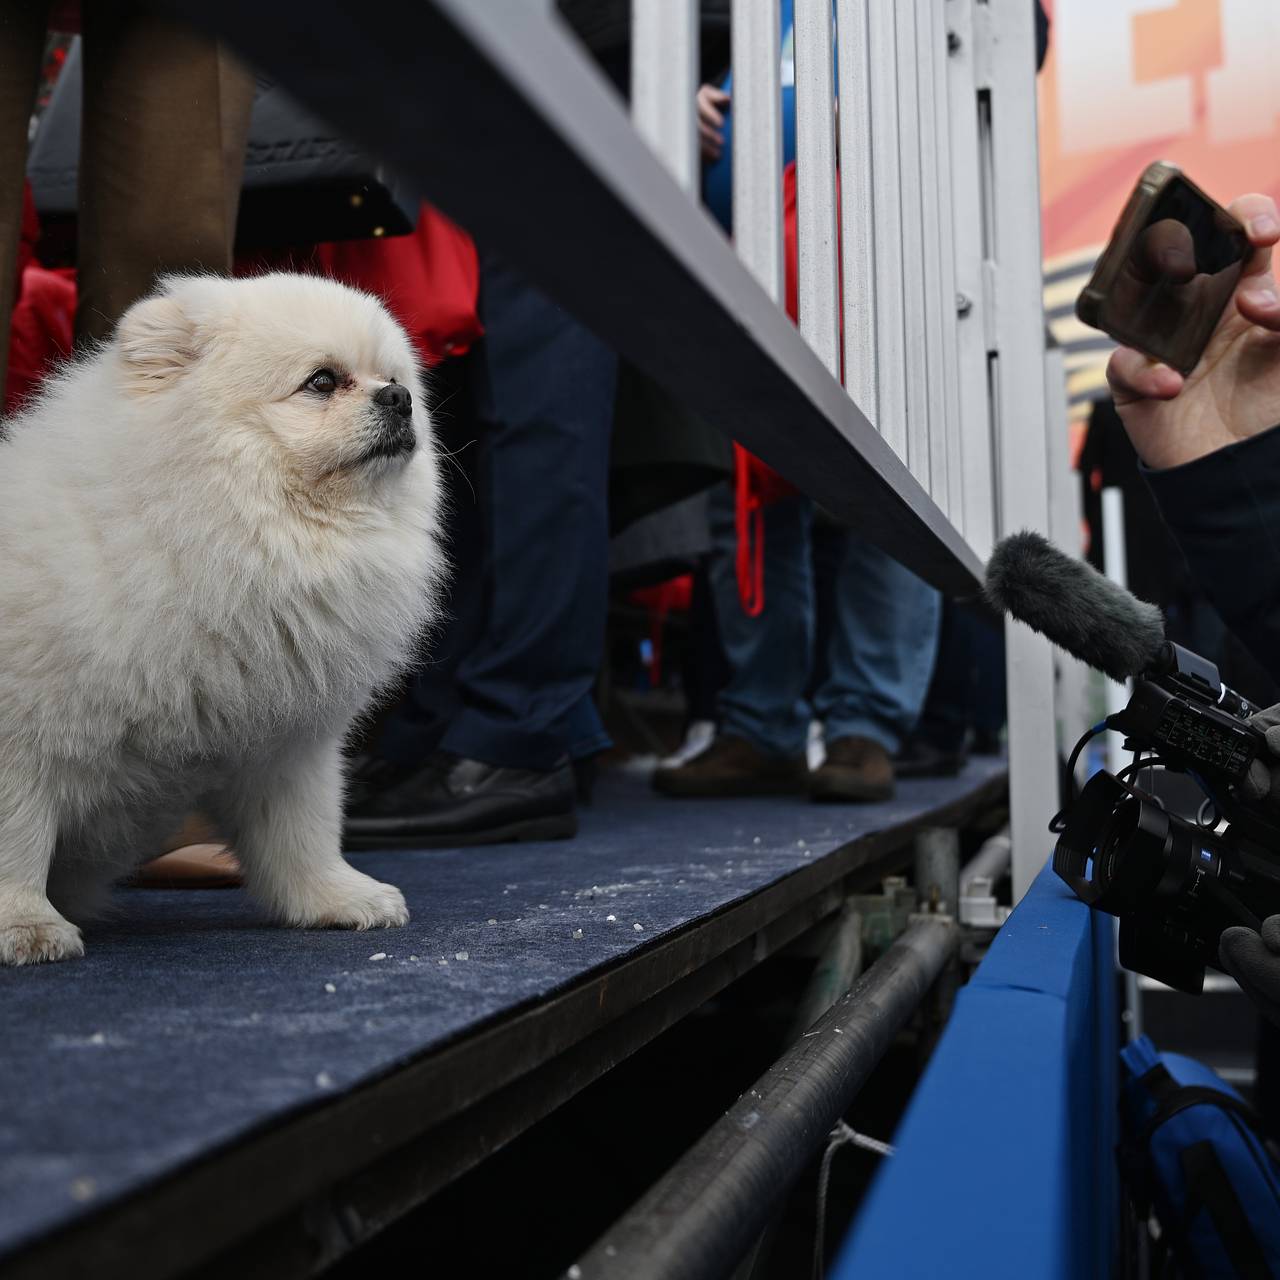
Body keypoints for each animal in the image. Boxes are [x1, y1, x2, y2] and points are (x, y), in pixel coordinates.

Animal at [0, 275, 445, 962]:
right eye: (322, 380)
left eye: (394, 377)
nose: (400, 400)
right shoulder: (24, 733)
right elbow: (17, 841)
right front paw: (27, 925)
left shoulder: (286, 742)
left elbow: (303, 834)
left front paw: (335, 899)